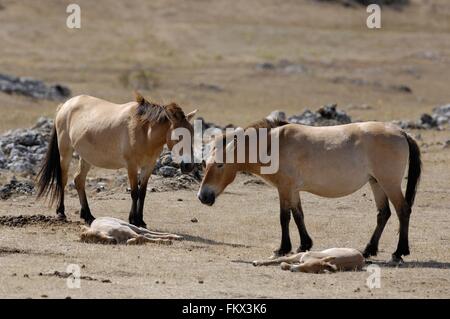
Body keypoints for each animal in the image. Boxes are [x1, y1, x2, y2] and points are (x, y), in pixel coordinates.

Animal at [35, 92, 197, 228]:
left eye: (193, 134)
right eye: (179, 136)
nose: (188, 166)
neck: (145, 132)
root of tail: (65, 105)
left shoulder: (148, 166)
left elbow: (143, 193)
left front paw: (141, 220)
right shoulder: (131, 166)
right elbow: (134, 192)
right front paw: (133, 220)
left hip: (86, 157)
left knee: (78, 180)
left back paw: (88, 215)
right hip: (65, 152)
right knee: (63, 179)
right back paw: (61, 212)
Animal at [199, 119, 420, 264]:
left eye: (219, 164)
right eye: (204, 163)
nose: (203, 196)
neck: (273, 146)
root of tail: (401, 132)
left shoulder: (284, 188)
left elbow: (284, 217)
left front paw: (282, 249)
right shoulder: (293, 190)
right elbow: (298, 215)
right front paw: (304, 245)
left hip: (389, 183)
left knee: (403, 211)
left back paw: (399, 252)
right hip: (376, 183)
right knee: (384, 214)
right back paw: (368, 250)